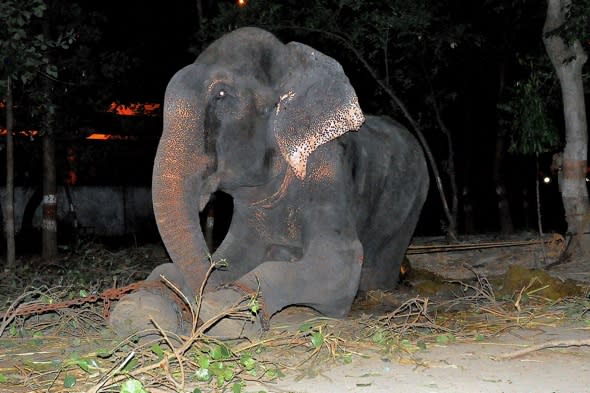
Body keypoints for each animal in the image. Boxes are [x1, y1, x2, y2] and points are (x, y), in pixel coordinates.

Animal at [108, 26, 428, 336]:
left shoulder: (327, 168)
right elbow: (232, 254)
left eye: (221, 94)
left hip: (412, 205)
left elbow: (339, 261)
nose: (192, 311)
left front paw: (226, 312)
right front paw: (139, 309)